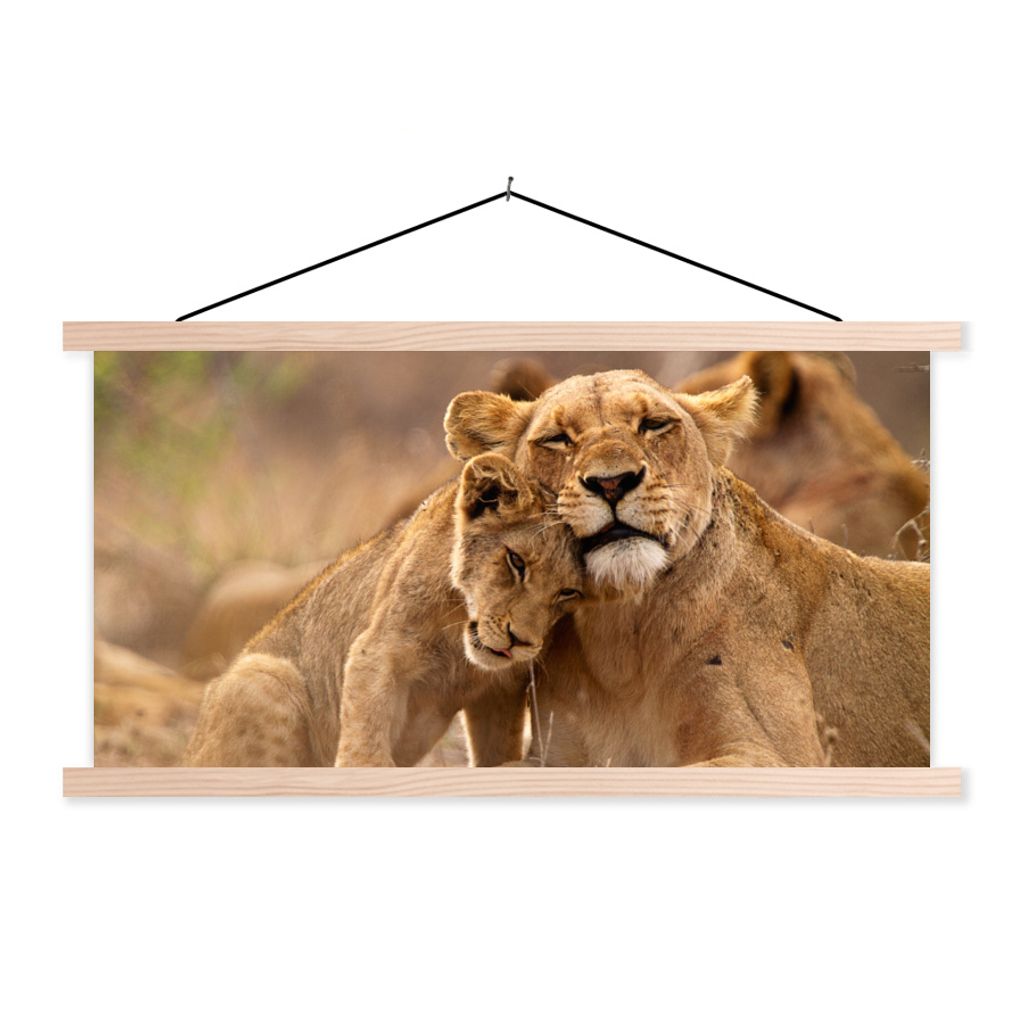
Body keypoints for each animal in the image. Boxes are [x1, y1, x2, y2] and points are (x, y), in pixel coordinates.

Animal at [184, 453, 584, 767]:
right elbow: (366, 742)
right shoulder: (377, 651)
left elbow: (496, 751)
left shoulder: (500, 689)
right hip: (261, 676)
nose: (520, 642)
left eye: (568, 592)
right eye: (516, 561)